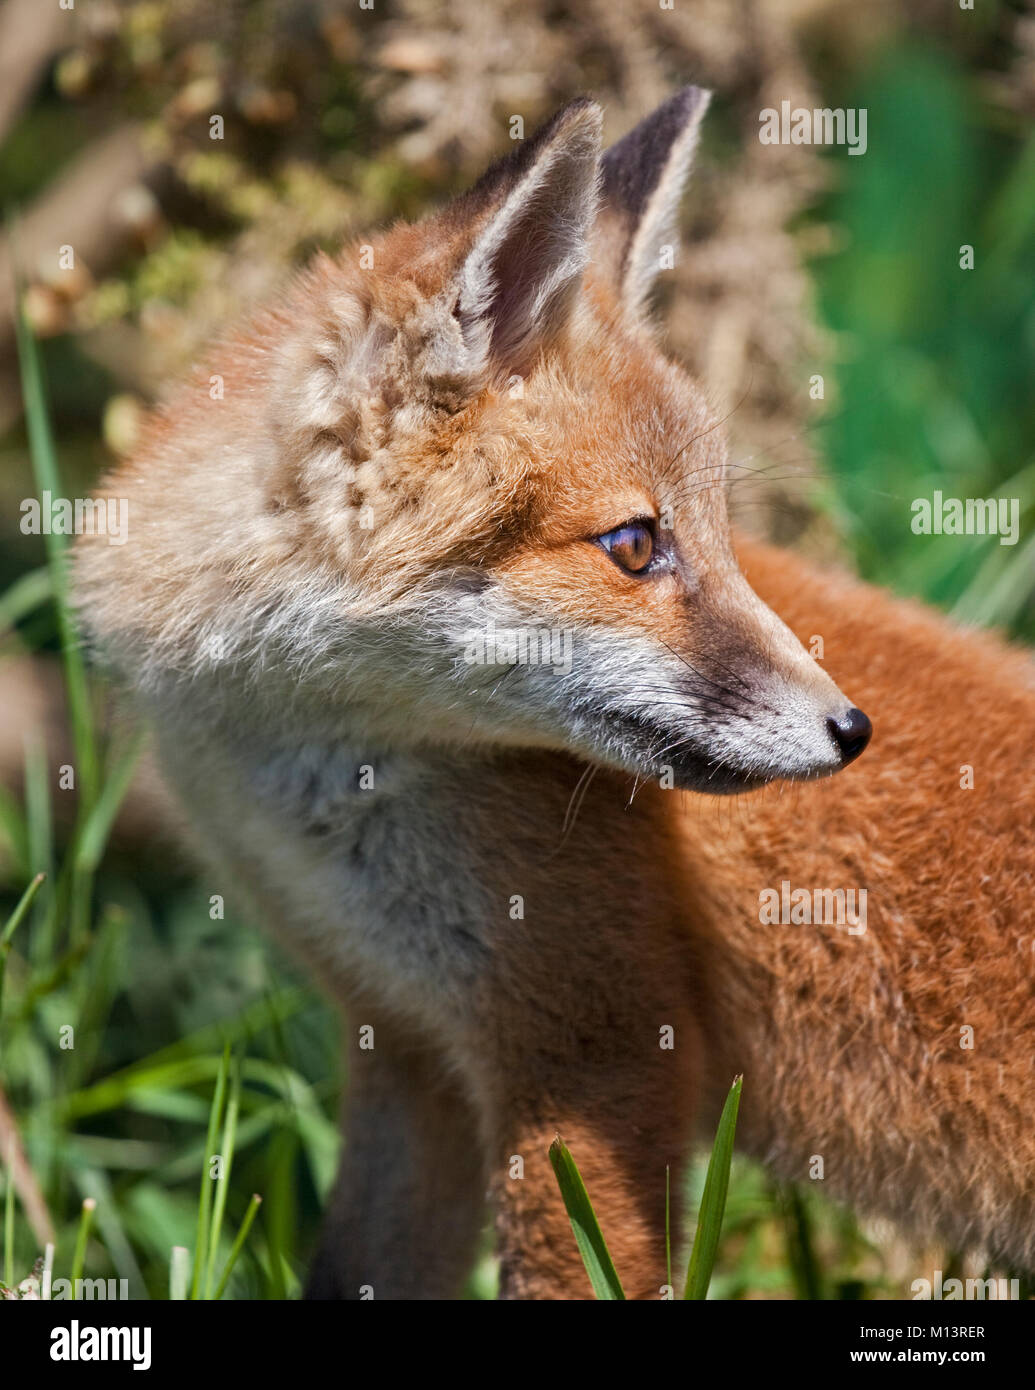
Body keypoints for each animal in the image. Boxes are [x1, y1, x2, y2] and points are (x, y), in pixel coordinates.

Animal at [74, 88, 1035, 1300]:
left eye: (724, 538)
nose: (851, 729)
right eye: (634, 544)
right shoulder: (405, 1047)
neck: (321, 791)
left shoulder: (599, 1050)